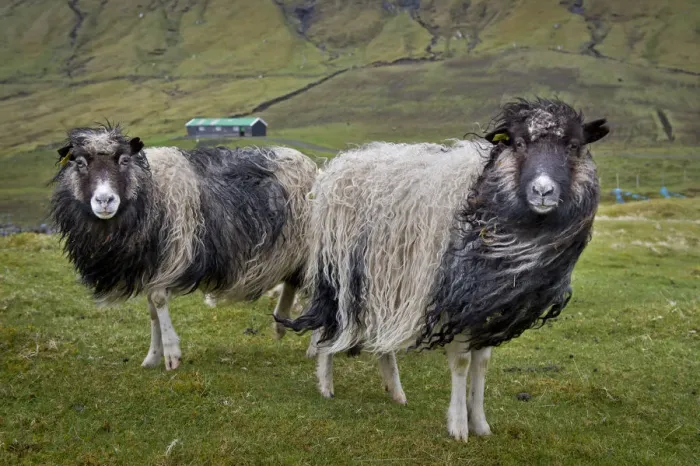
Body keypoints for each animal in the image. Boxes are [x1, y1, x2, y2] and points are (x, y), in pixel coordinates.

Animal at [50, 124, 317, 370]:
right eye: (80, 163)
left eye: (125, 160)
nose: (104, 200)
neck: (150, 189)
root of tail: (312, 166)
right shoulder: (150, 264)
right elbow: (152, 309)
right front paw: (152, 357)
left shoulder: (173, 253)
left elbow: (158, 301)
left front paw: (171, 355)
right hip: (293, 250)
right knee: (292, 282)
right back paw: (280, 324)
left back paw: (314, 347)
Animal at [277, 98, 610, 441]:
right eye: (518, 143)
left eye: (574, 145)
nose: (543, 191)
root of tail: (344, 161)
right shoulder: (454, 300)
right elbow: (462, 363)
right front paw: (459, 426)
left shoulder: (485, 303)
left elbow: (482, 363)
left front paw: (481, 423)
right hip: (341, 269)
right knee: (329, 324)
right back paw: (325, 384)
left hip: (383, 278)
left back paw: (396, 392)